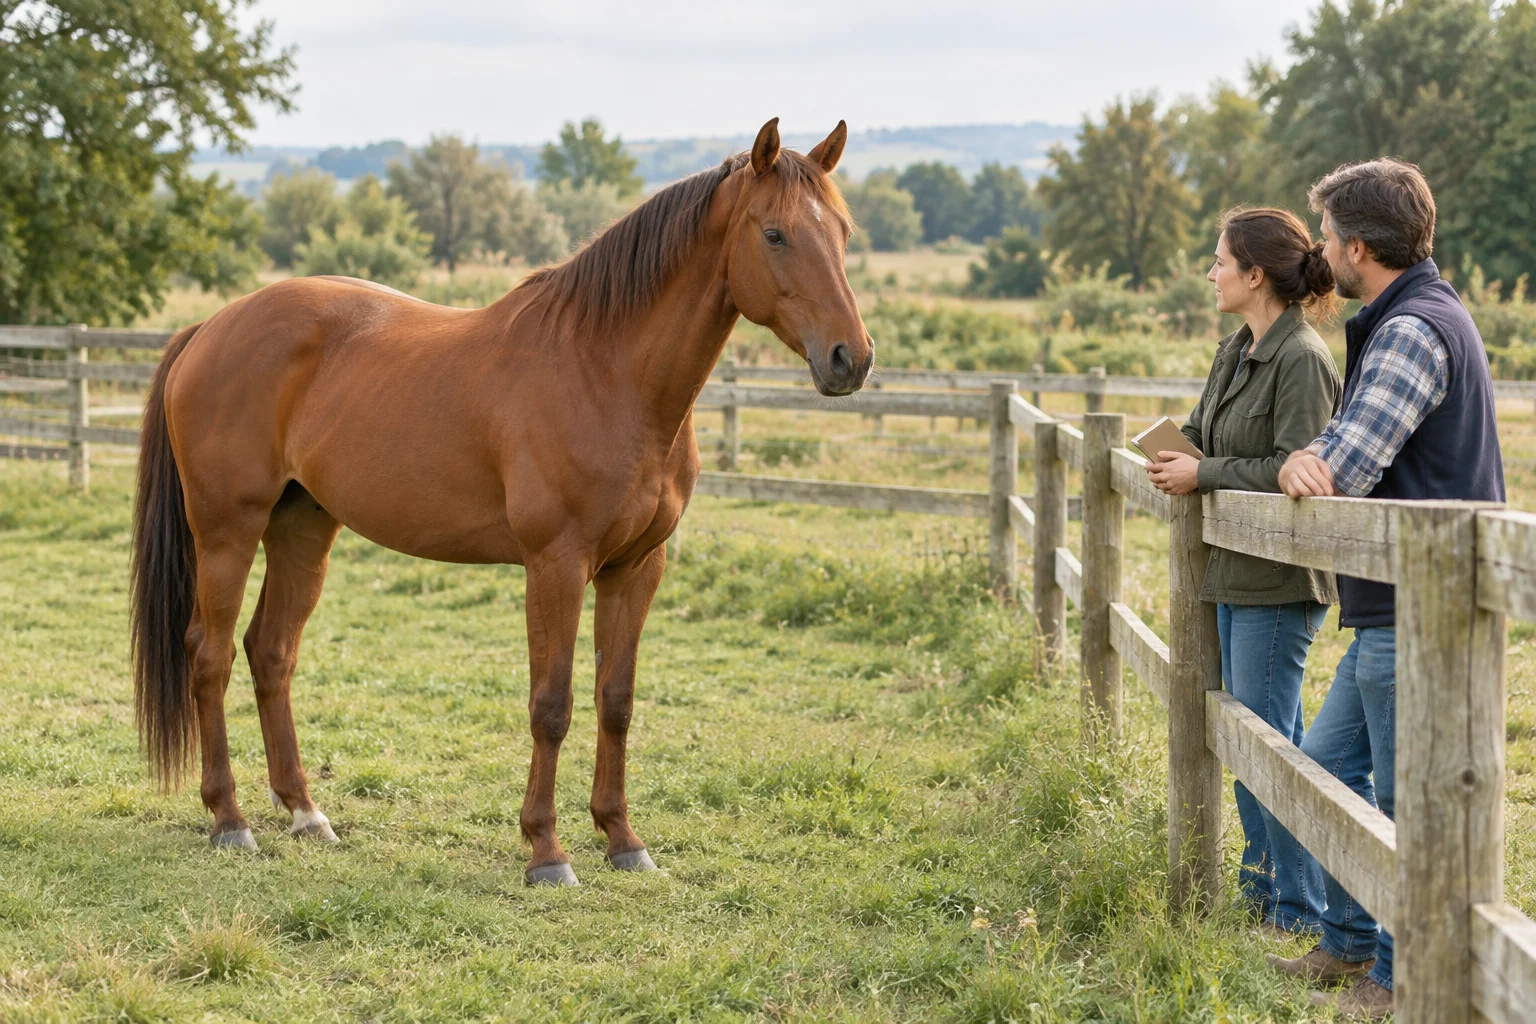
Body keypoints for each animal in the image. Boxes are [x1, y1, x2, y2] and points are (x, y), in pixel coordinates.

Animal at [128, 118, 872, 885]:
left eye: (843, 232)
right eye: (775, 234)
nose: (851, 358)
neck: (605, 370)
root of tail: (210, 328)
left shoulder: (637, 569)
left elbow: (616, 702)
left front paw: (623, 839)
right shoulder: (555, 566)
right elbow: (552, 704)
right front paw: (547, 850)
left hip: (303, 528)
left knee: (271, 651)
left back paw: (306, 813)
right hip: (227, 531)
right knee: (209, 653)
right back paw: (230, 819)